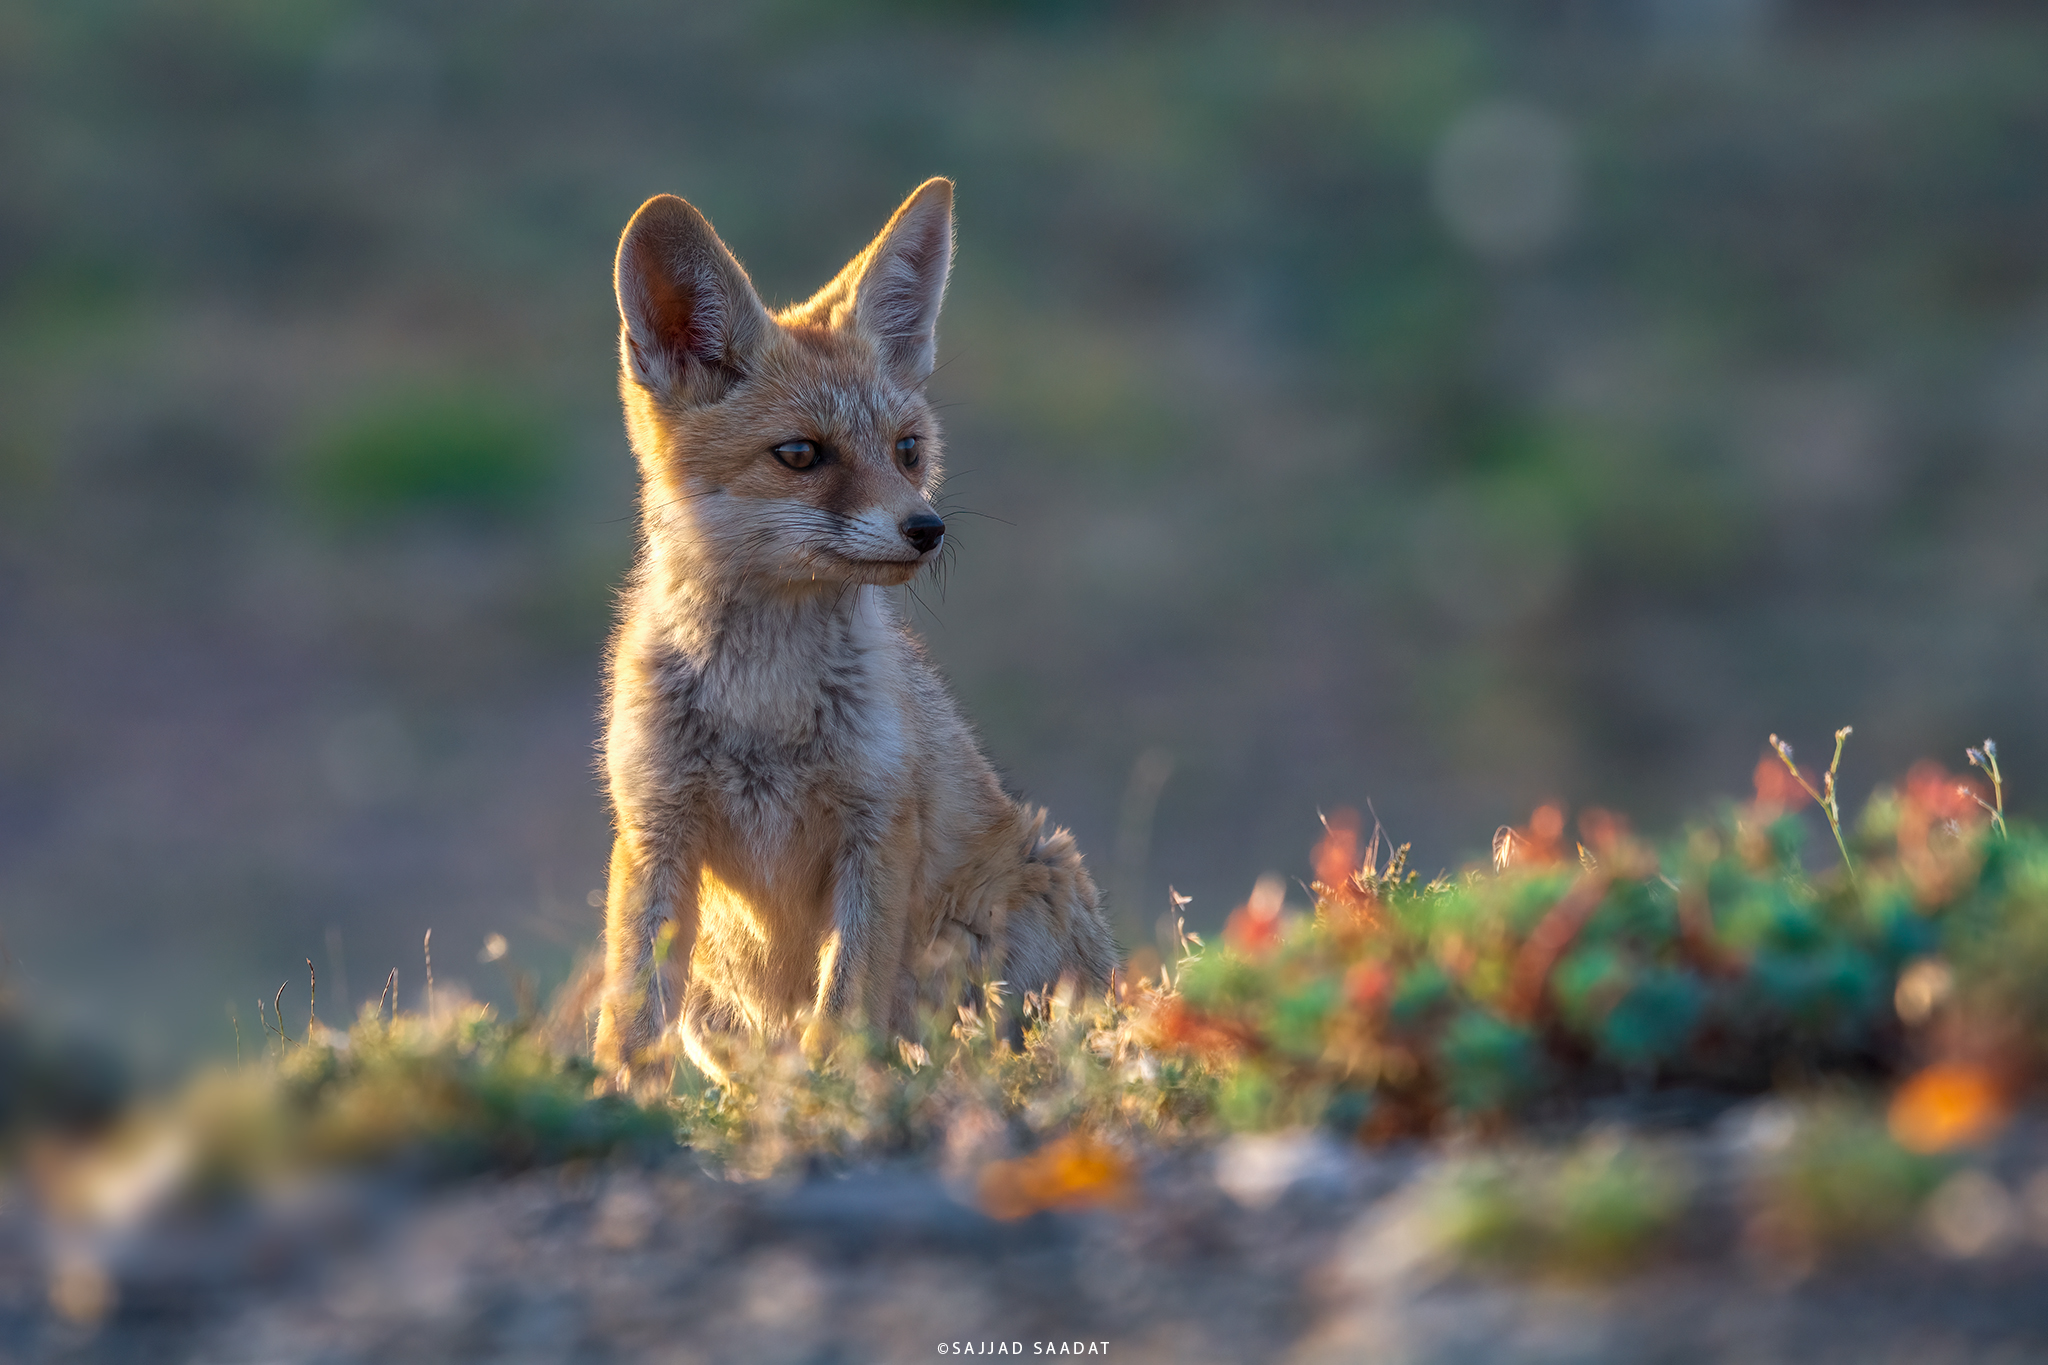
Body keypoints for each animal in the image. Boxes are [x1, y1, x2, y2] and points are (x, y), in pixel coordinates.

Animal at [590, 178, 1118, 1087]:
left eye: (907, 450)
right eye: (802, 454)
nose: (927, 529)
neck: (763, 705)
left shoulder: (876, 821)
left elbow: (842, 1005)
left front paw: (832, 1091)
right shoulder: (655, 824)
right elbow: (631, 1016)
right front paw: (612, 1095)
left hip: (1033, 897)